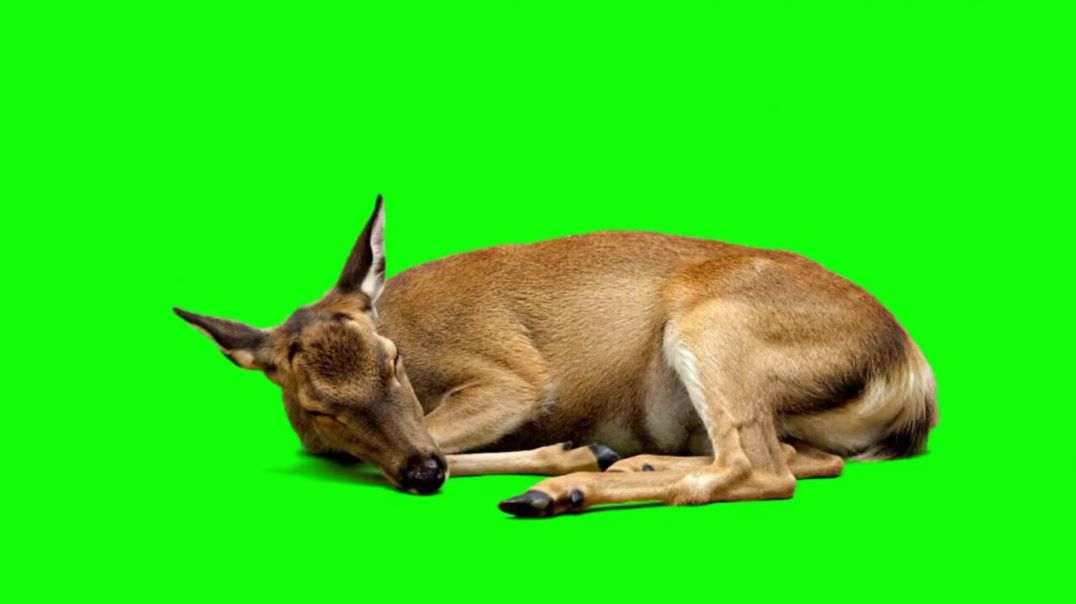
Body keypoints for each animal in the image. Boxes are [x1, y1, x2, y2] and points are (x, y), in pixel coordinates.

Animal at [175, 195, 937, 517]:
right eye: (318, 404)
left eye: (392, 360)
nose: (421, 473)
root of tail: (912, 374)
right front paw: (578, 454)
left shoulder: (510, 377)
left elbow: (429, 442)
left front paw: (566, 457)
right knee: (811, 460)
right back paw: (615, 465)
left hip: (716, 326)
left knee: (759, 469)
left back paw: (559, 491)